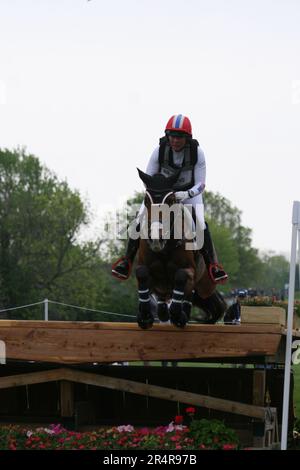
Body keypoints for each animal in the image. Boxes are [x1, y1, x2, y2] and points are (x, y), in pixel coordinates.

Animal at [135, 170, 226, 330]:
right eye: (146, 200)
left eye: (171, 200)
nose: (156, 238)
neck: (164, 248)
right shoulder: (144, 267)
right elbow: (142, 273)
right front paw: (145, 316)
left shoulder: (190, 270)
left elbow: (181, 276)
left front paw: (177, 315)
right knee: (162, 302)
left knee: (188, 295)